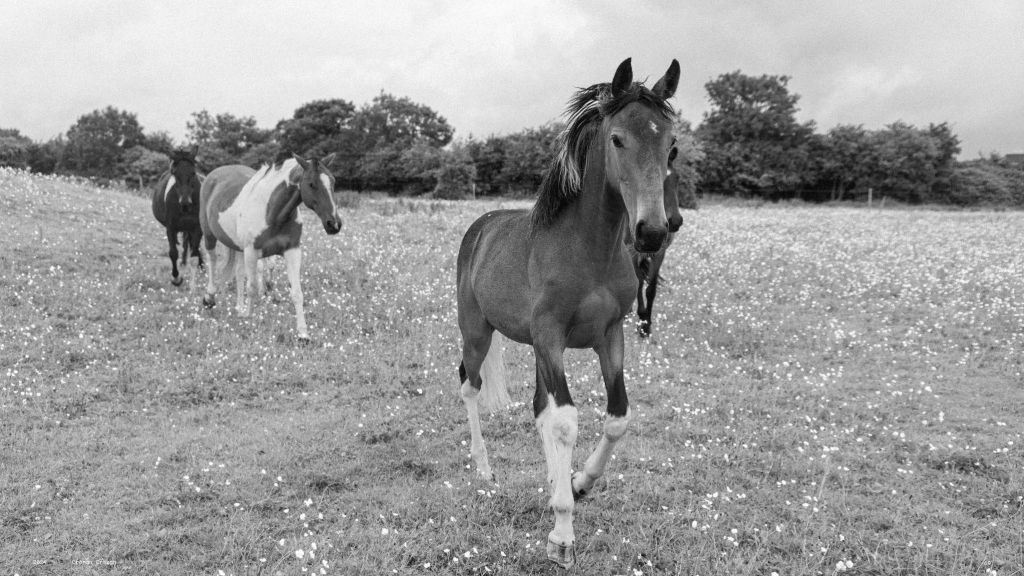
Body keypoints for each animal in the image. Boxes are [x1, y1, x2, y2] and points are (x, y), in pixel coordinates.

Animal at [149, 144, 203, 284]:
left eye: (193, 173)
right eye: (174, 173)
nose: (185, 203)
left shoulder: (197, 228)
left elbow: (194, 253)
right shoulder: (171, 228)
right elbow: (173, 253)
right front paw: (176, 278)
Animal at [197, 154, 342, 338]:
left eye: (333, 182)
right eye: (312, 184)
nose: (334, 224)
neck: (273, 212)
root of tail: (209, 177)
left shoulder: (293, 251)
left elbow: (297, 292)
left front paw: (303, 334)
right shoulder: (252, 252)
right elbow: (252, 288)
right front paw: (248, 319)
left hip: (237, 247)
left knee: (238, 272)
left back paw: (239, 307)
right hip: (209, 235)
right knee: (212, 261)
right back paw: (210, 297)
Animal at [456, 58, 679, 565]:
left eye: (671, 145)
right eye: (618, 139)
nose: (654, 231)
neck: (587, 248)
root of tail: (481, 228)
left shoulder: (609, 334)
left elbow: (616, 417)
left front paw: (577, 483)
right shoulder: (551, 336)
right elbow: (564, 421)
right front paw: (561, 533)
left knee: (538, 407)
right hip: (477, 332)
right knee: (469, 387)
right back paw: (483, 469)